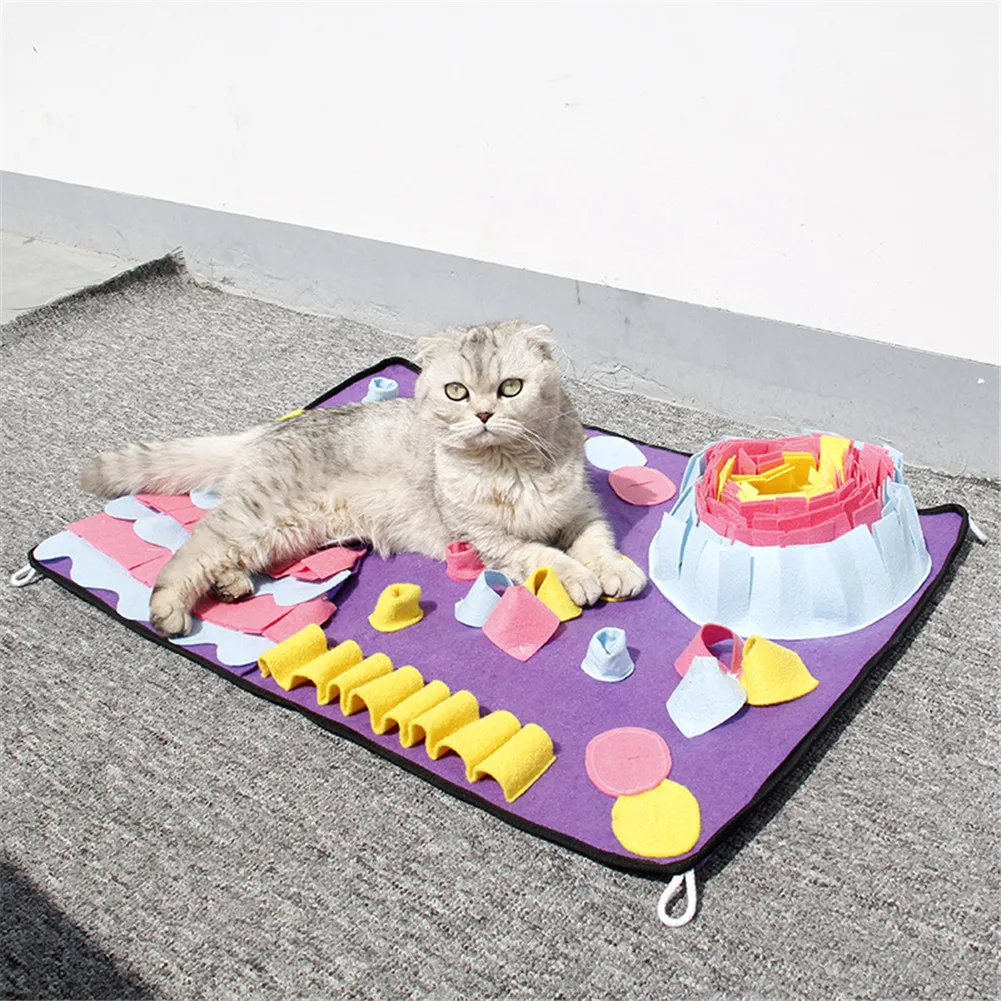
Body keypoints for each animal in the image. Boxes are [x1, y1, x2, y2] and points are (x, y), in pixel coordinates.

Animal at [81, 320, 648, 637]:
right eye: (457, 392)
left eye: (511, 388)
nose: (485, 414)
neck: (511, 466)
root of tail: (265, 429)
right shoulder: (487, 538)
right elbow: (545, 555)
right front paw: (578, 578)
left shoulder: (581, 510)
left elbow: (596, 542)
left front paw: (615, 571)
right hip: (255, 516)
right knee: (192, 550)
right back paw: (170, 608)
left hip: (284, 532)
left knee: (226, 557)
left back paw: (232, 584)